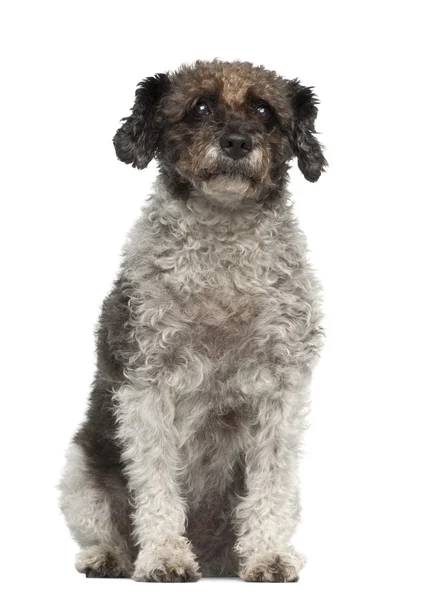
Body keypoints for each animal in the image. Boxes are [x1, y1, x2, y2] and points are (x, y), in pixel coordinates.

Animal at [58, 59, 326, 580]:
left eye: (264, 111)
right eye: (199, 107)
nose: (237, 142)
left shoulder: (281, 390)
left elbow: (271, 480)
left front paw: (267, 554)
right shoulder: (147, 386)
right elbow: (156, 480)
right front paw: (164, 555)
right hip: (81, 467)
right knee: (105, 527)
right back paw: (108, 557)